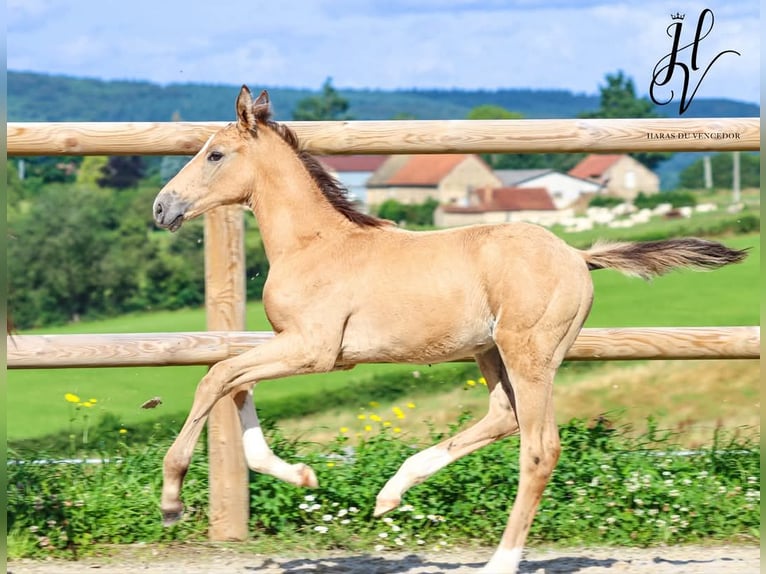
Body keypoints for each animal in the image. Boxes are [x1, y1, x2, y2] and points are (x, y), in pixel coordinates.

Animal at [154, 85, 752, 574]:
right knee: (503, 416)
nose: (162, 208)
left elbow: (216, 377)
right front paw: (301, 476)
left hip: (528, 352)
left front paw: (172, 497)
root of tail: (578, 256)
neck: (315, 244)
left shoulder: (314, 350)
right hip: (489, 351)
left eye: (214, 154)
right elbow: (235, 382)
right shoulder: (294, 347)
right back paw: (392, 493)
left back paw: (499, 561)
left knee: (540, 448)